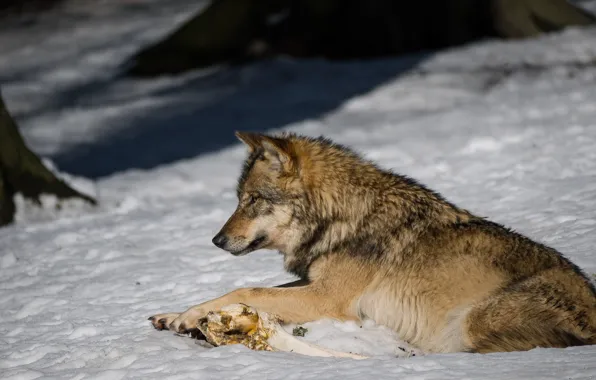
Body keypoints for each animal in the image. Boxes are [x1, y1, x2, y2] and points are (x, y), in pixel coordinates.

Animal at [150, 131, 596, 354]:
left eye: (252, 200)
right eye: (238, 199)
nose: (216, 240)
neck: (343, 216)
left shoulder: (327, 299)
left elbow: (245, 288)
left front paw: (191, 318)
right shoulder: (314, 284)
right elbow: (249, 292)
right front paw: (176, 316)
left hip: (475, 322)